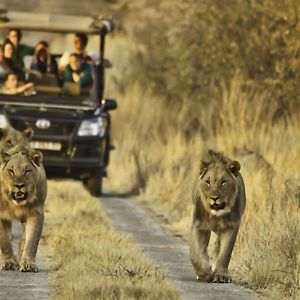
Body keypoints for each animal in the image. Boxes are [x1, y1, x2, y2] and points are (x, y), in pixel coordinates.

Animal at [190, 150, 246, 284]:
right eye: (208, 182)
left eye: (223, 182)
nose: (214, 198)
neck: (217, 215)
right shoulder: (198, 225)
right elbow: (196, 253)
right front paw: (204, 273)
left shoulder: (231, 227)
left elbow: (225, 253)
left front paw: (221, 275)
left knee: (217, 246)